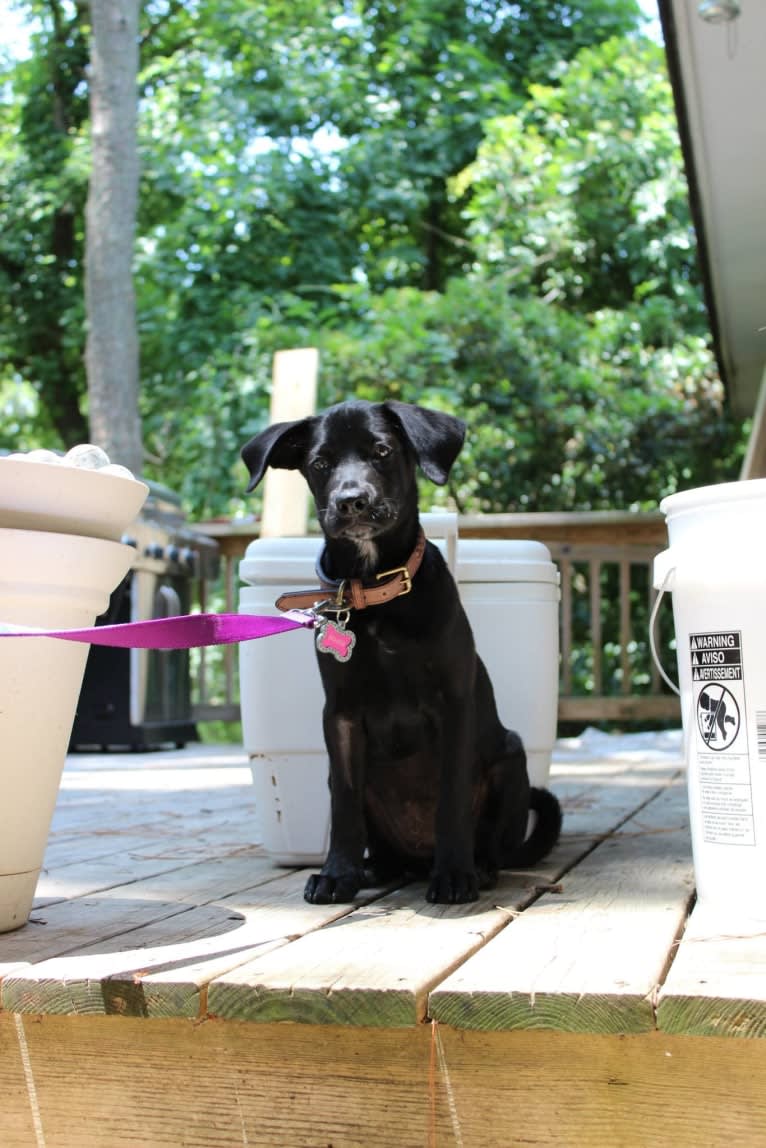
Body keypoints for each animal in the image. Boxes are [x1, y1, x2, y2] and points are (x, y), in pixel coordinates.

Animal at [242, 399, 560, 900]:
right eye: (320, 463)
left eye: (382, 451)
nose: (351, 501)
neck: (376, 594)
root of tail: (417, 857)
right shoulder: (341, 715)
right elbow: (345, 803)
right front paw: (337, 874)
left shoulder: (454, 705)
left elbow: (451, 796)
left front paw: (454, 874)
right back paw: (375, 869)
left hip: (511, 759)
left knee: (495, 843)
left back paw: (478, 866)